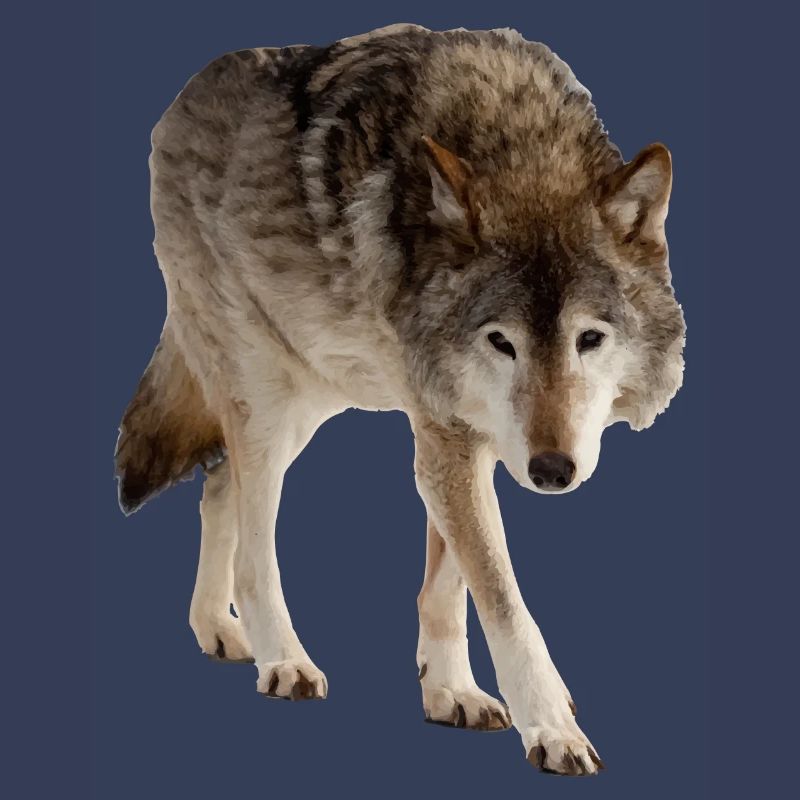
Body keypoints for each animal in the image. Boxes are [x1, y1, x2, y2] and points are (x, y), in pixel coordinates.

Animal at [114, 23, 685, 776]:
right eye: (501, 343)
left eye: (589, 338)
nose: (551, 472)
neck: (516, 139)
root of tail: (181, 96)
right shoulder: (446, 434)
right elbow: (503, 600)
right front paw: (553, 728)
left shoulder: (456, 434)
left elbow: (447, 587)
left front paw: (450, 692)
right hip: (265, 399)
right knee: (253, 542)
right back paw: (282, 659)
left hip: (309, 397)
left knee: (216, 487)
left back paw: (217, 628)